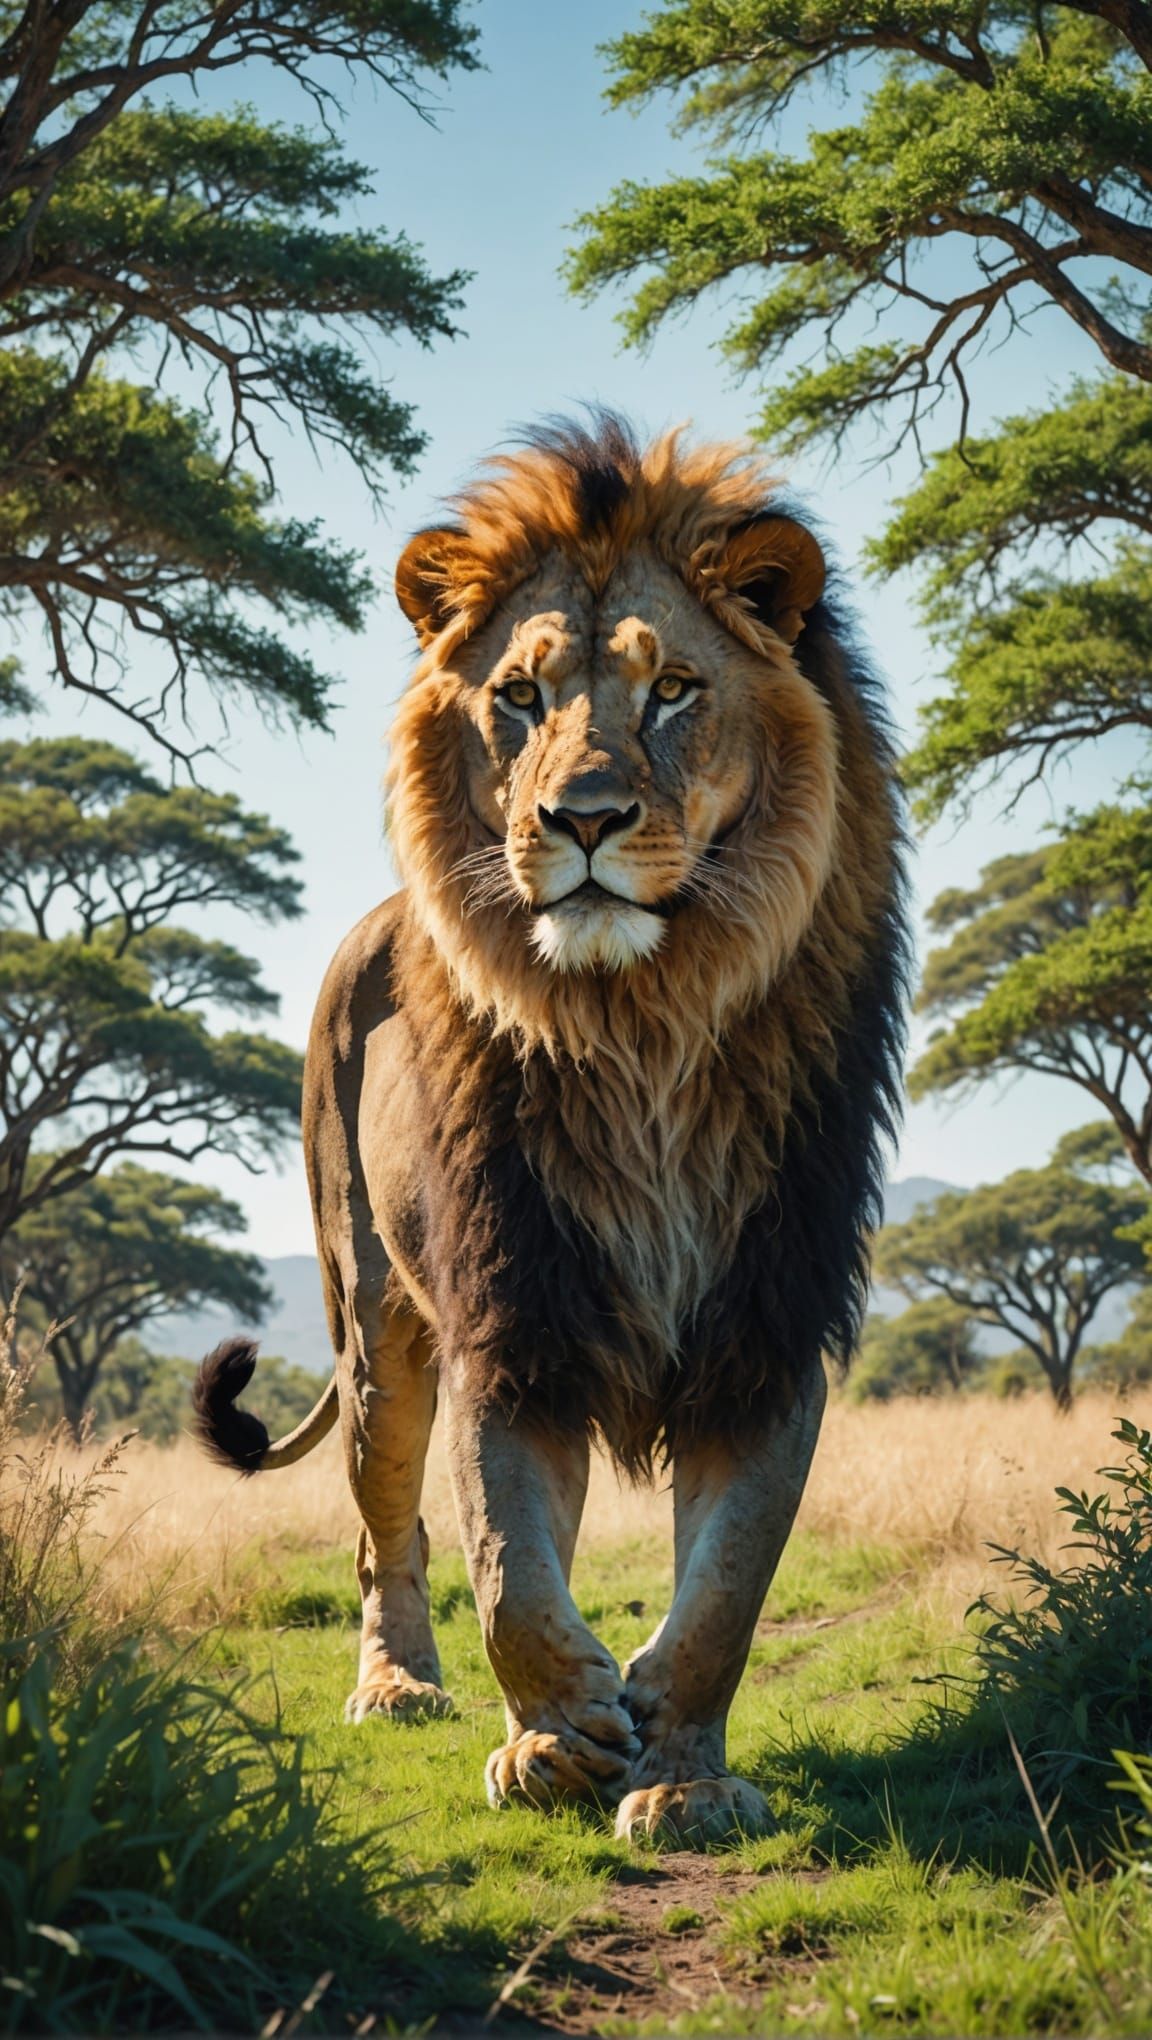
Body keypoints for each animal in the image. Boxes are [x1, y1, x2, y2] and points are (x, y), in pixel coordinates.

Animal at [193, 413, 906, 1847]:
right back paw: (399, 1689)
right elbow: (507, 1560)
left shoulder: (768, 1322)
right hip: (372, 1333)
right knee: (392, 1532)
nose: (580, 819)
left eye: (673, 690)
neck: (640, 1029)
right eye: (518, 698)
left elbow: (728, 1584)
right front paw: (553, 1733)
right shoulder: (512, 1315)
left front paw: (681, 1770)